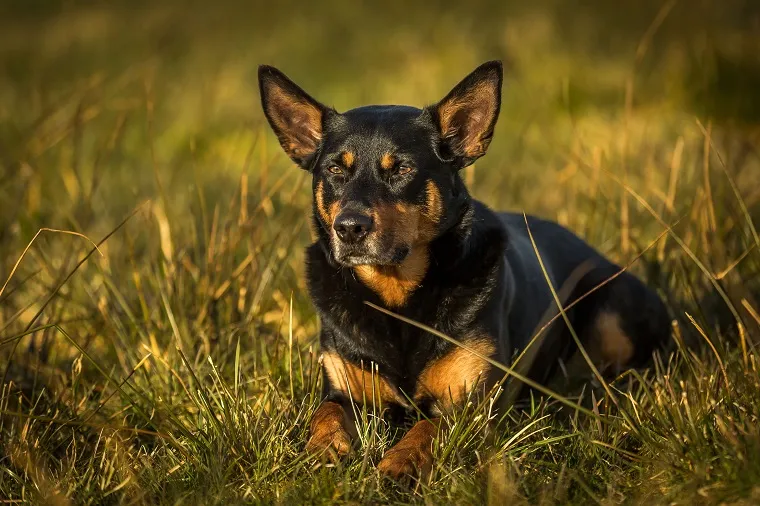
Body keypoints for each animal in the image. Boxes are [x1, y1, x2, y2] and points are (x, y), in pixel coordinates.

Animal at [256, 61, 672, 476]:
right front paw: (322, 450)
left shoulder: (467, 404)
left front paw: (399, 464)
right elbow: (323, 414)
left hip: (612, 311)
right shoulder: (342, 389)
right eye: (334, 170)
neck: (398, 299)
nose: (349, 227)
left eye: (401, 169)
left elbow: (425, 428)